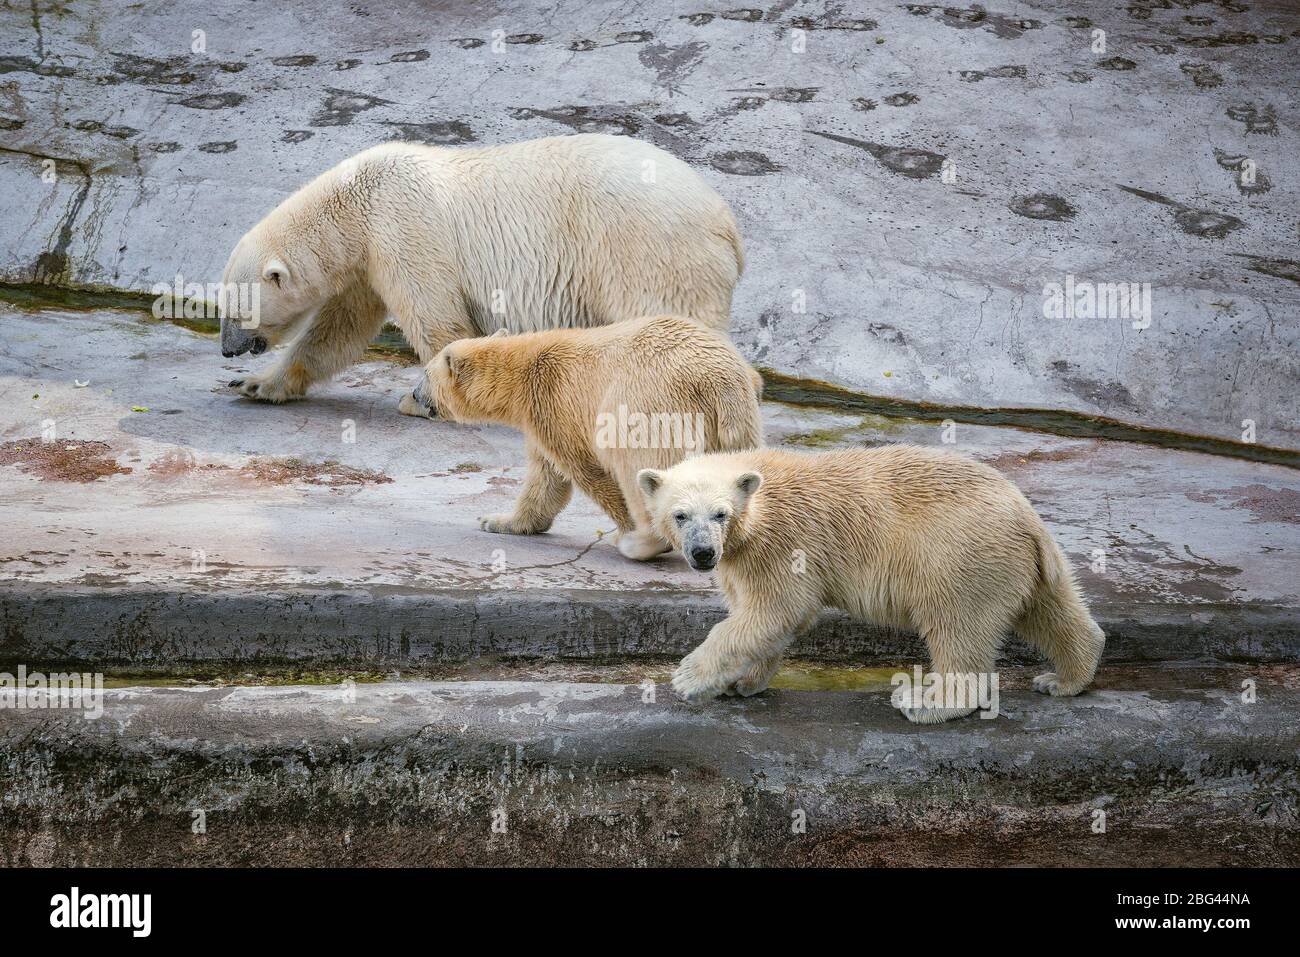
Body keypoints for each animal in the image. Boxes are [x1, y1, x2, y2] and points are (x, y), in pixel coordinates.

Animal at [217, 133, 745, 415]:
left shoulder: (403, 228)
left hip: (646, 250)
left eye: (237, 312)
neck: (354, 203)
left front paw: (424, 400)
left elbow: (437, 320)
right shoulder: (367, 261)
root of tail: (725, 220)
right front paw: (258, 385)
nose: (226, 350)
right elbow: (337, 328)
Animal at [414, 315, 763, 560]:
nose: (415, 395)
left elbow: (587, 471)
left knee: (640, 467)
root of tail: (717, 381)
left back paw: (642, 542)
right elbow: (546, 479)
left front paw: (627, 530)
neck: (526, 368)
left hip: (648, 405)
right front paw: (500, 521)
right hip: (739, 423)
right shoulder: (542, 415)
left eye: (425, 373)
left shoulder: (555, 402)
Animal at [636, 445, 1106, 723]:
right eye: (680, 515)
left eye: (720, 513)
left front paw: (688, 679)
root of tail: (1026, 514)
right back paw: (1064, 678)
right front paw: (742, 682)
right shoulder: (744, 555)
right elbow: (765, 618)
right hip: (1021, 560)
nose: (702, 554)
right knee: (1051, 609)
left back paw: (927, 701)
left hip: (958, 553)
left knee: (957, 623)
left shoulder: (783, 542)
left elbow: (774, 610)